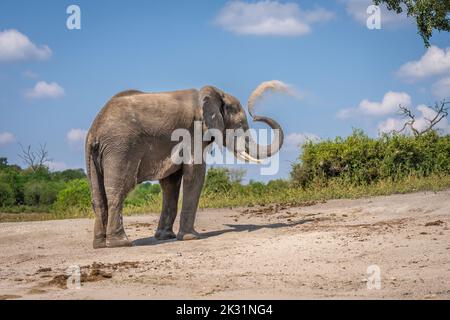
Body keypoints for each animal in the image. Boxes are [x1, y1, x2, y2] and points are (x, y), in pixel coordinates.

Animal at [85, 85, 284, 250]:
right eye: (240, 125)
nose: (256, 116)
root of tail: (95, 129)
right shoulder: (194, 131)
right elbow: (195, 173)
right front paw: (191, 237)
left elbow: (170, 182)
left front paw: (166, 237)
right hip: (121, 148)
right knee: (118, 191)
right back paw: (121, 243)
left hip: (96, 155)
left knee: (98, 196)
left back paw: (100, 245)